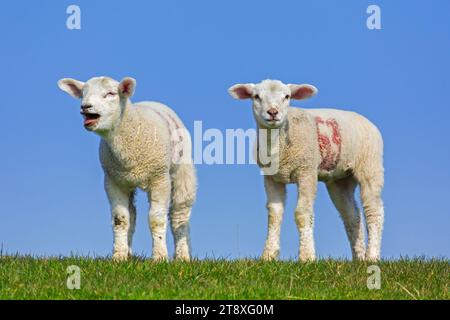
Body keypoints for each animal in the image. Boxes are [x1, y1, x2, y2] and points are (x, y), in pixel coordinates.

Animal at [57, 76, 195, 262]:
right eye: (83, 93)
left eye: (110, 93)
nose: (85, 106)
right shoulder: (113, 181)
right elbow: (121, 219)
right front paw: (119, 256)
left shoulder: (159, 179)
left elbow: (156, 219)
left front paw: (159, 257)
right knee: (133, 215)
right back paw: (129, 253)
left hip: (182, 173)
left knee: (179, 214)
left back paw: (182, 256)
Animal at [229, 79, 384, 262]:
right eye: (256, 96)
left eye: (287, 96)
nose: (273, 112)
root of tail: (365, 120)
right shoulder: (271, 178)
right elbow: (274, 214)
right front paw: (269, 255)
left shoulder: (307, 171)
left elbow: (302, 213)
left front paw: (307, 256)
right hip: (340, 179)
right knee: (352, 216)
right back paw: (358, 258)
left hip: (370, 166)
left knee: (374, 210)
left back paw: (372, 256)